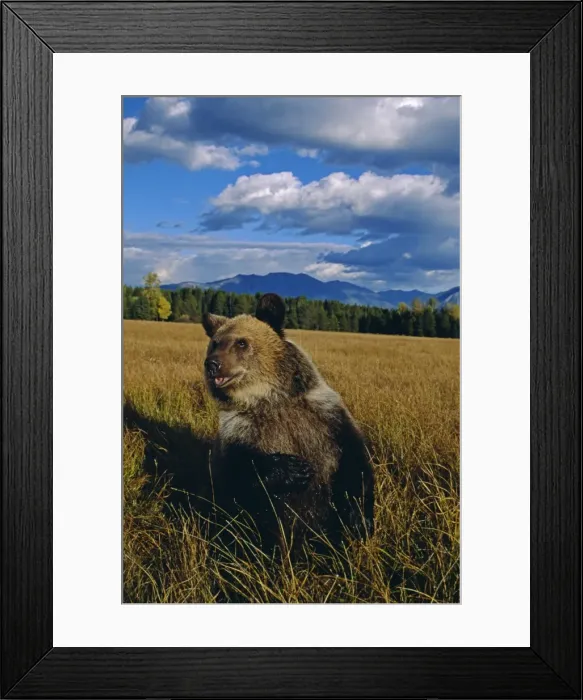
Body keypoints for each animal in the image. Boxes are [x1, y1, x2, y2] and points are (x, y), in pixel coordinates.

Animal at [202, 293, 374, 555]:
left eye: (241, 343)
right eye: (215, 342)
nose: (212, 364)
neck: (269, 399)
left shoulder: (327, 417)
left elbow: (354, 463)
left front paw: (359, 520)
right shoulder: (239, 432)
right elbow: (233, 479)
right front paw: (292, 468)